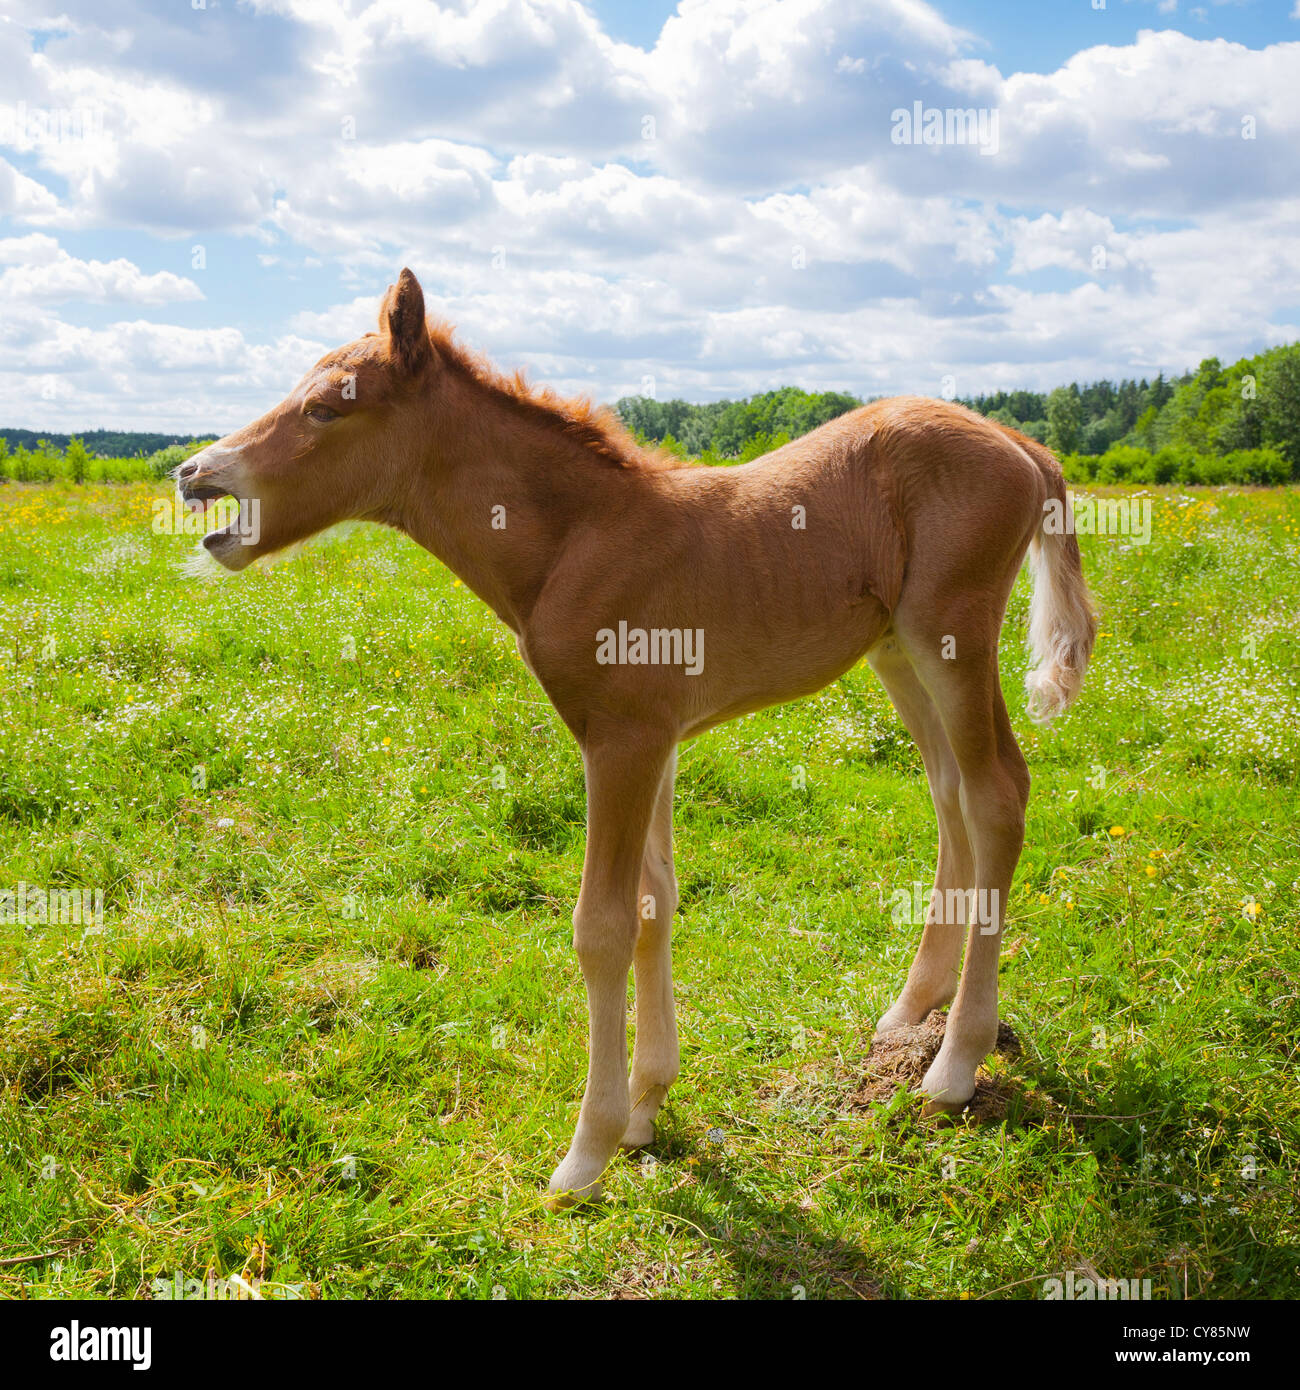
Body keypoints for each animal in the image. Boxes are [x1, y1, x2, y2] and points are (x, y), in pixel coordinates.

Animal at [177, 268, 1096, 1206]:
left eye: (327, 406)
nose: (193, 473)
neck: (575, 541)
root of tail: (1021, 444)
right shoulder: (659, 737)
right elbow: (657, 898)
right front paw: (649, 1106)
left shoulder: (620, 740)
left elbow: (604, 924)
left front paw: (587, 1150)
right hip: (897, 650)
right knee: (950, 794)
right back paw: (910, 1013)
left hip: (951, 635)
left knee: (997, 793)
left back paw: (953, 1067)